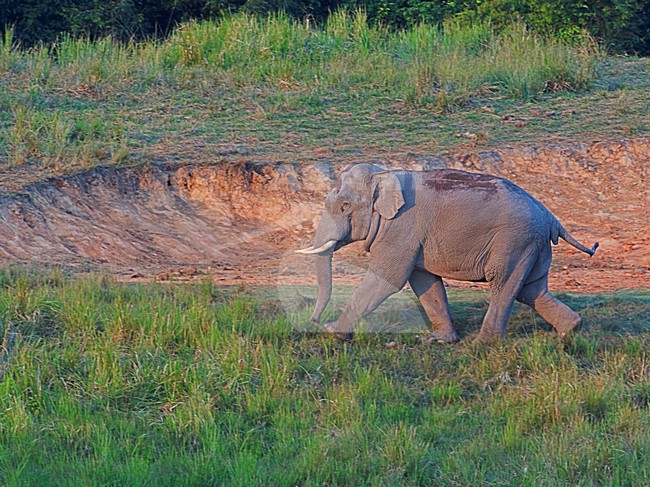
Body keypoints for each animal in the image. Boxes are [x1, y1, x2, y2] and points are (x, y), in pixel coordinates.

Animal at [296, 163, 598, 342]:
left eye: (345, 206)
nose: (313, 321)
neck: (385, 173)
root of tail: (550, 216)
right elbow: (424, 280)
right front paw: (440, 340)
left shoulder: (401, 228)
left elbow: (389, 279)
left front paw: (333, 331)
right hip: (531, 244)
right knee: (530, 289)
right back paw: (570, 330)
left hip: (514, 240)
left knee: (504, 282)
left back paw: (483, 344)